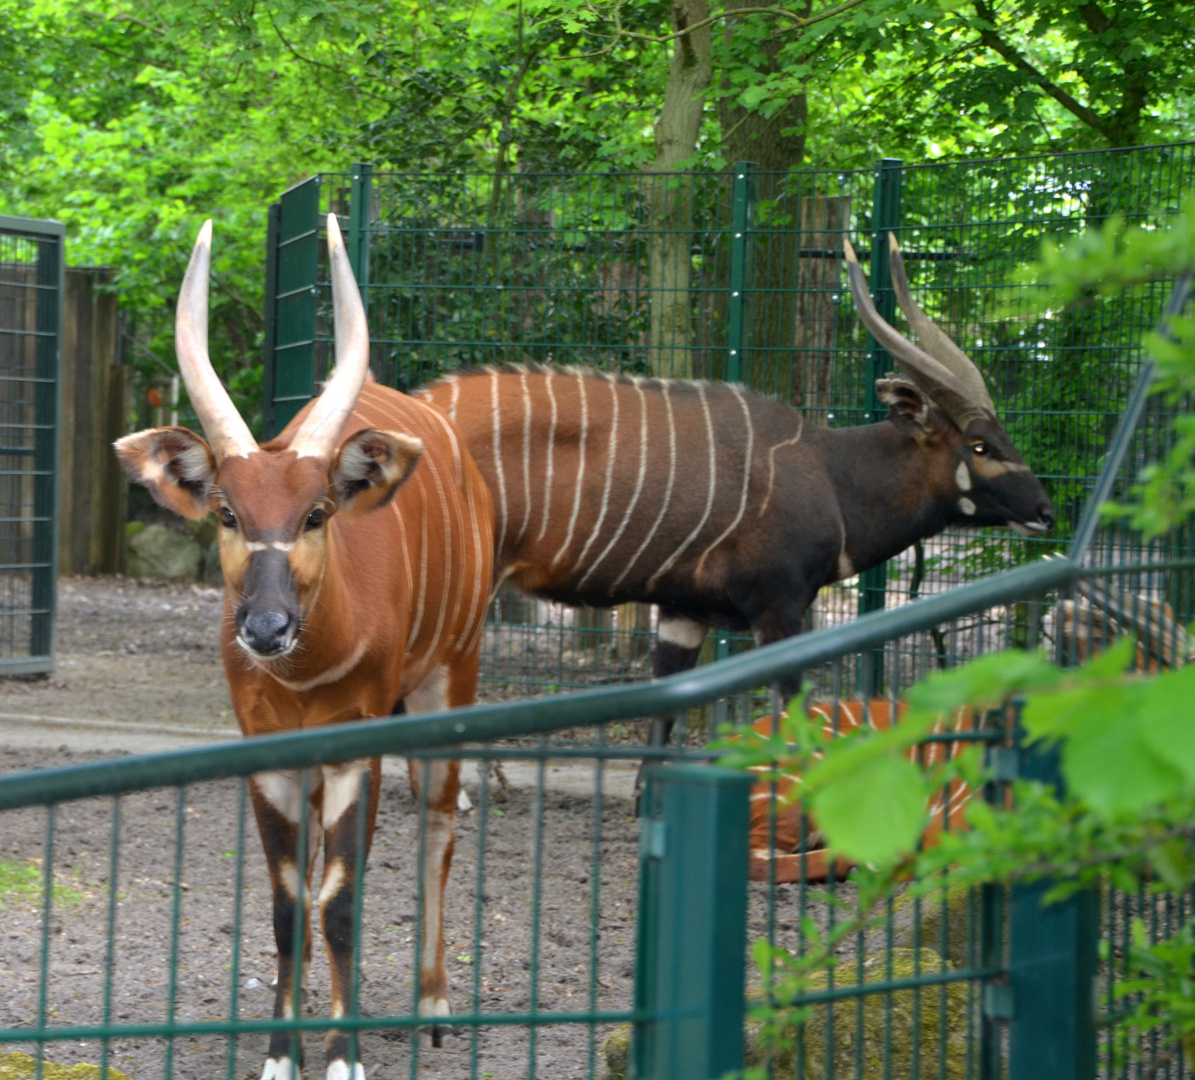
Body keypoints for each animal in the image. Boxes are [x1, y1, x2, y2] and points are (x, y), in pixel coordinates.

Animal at [116, 215, 494, 1075]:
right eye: (227, 512)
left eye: (316, 512)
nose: (265, 628)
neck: (306, 669)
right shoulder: (271, 752)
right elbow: (291, 901)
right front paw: (282, 1052)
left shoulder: (357, 742)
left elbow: (342, 899)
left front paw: (343, 1055)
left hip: (449, 679)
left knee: (438, 827)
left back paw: (432, 1005)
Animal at [415, 234, 1051, 774]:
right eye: (981, 444)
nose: (1045, 511)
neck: (827, 472)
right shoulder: (779, 609)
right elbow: (795, 721)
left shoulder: (682, 613)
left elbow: (661, 731)